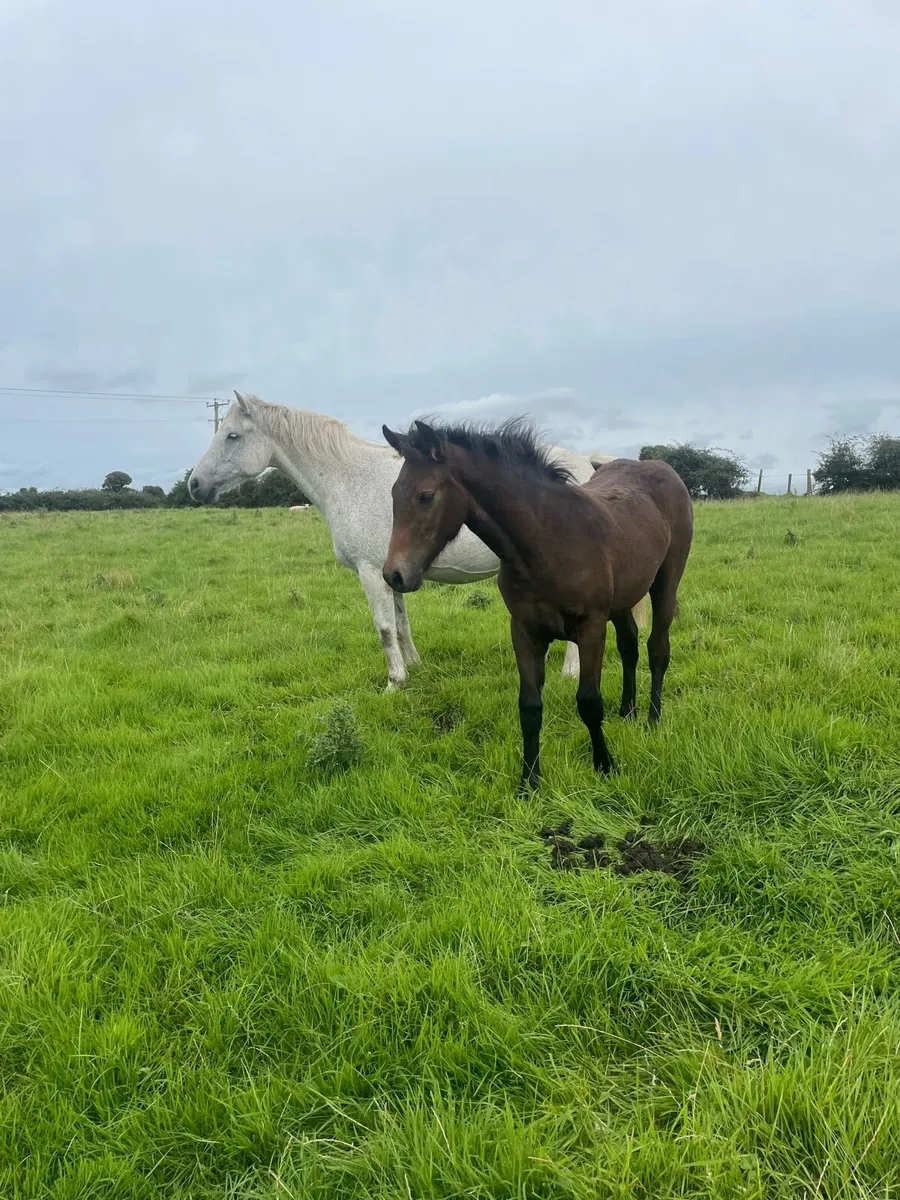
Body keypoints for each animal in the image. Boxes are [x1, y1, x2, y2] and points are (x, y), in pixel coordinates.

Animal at [187, 392, 646, 689]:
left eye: (232, 436)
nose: (194, 485)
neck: (346, 479)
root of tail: (589, 464)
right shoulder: (392, 570)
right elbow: (402, 623)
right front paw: (416, 666)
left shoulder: (370, 573)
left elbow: (384, 628)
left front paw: (395, 682)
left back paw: (570, 672)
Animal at [382, 418, 693, 791]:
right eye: (394, 494)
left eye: (426, 496)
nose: (394, 575)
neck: (547, 544)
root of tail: (664, 469)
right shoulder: (525, 631)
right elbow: (529, 705)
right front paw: (529, 781)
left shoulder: (591, 628)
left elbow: (589, 701)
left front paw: (605, 766)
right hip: (623, 599)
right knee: (629, 645)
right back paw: (627, 712)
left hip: (666, 582)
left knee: (657, 648)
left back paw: (651, 720)